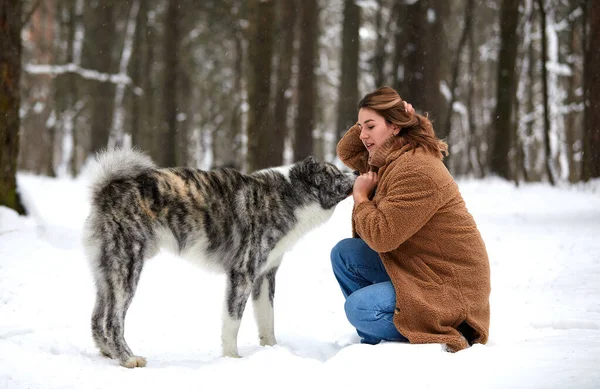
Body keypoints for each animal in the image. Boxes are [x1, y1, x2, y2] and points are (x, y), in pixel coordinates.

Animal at [82, 149, 354, 366]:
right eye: (334, 174)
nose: (355, 173)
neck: (286, 197)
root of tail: (107, 188)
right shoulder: (242, 275)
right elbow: (232, 323)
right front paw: (232, 358)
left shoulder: (265, 277)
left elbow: (267, 321)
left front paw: (272, 351)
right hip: (127, 271)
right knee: (112, 321)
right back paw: (128, 359)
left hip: (106, 276)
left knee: (97, 318)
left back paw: (110, 354)